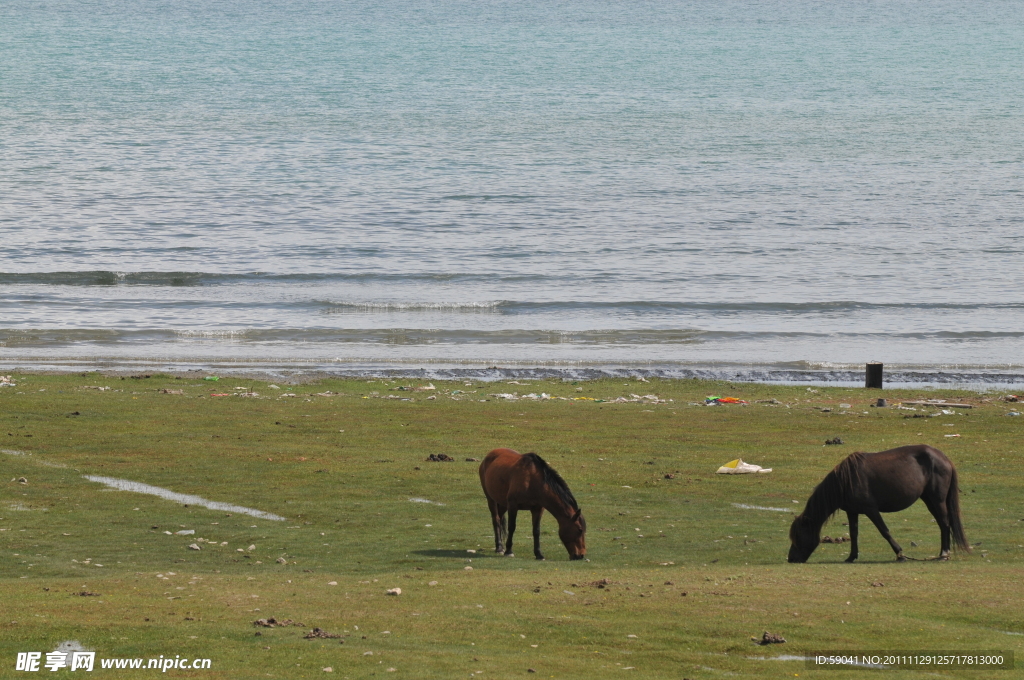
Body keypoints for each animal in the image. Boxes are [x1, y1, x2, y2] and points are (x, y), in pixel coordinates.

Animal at [790, 444, 966, 561]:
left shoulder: (871, 510)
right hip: (929, 500)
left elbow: (884, 531)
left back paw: (944, 554)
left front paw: (900, 554)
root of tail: (944, 458)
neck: (846, 481)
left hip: (938, 500)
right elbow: (854, 533)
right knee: (942, 523)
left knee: (944, 523)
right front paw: (851, 557)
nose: (791, 559)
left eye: (798, 535)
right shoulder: (852, 511)